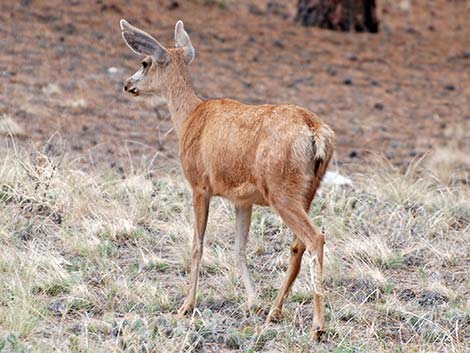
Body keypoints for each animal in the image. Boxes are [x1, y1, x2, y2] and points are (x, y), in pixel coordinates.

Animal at [120, 19, 334, 338]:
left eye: (144, 62)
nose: (127, 84)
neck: (188, 118)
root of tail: (315, 130)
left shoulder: (199, 184)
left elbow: (197, 245)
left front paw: (186, 306)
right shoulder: (242, 199)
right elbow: (239, 248)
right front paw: (252, 302)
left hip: (281, 189)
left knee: (315, 238)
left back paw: (318, 326)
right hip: (308, 189)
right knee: (297, 246)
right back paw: (274, 311)